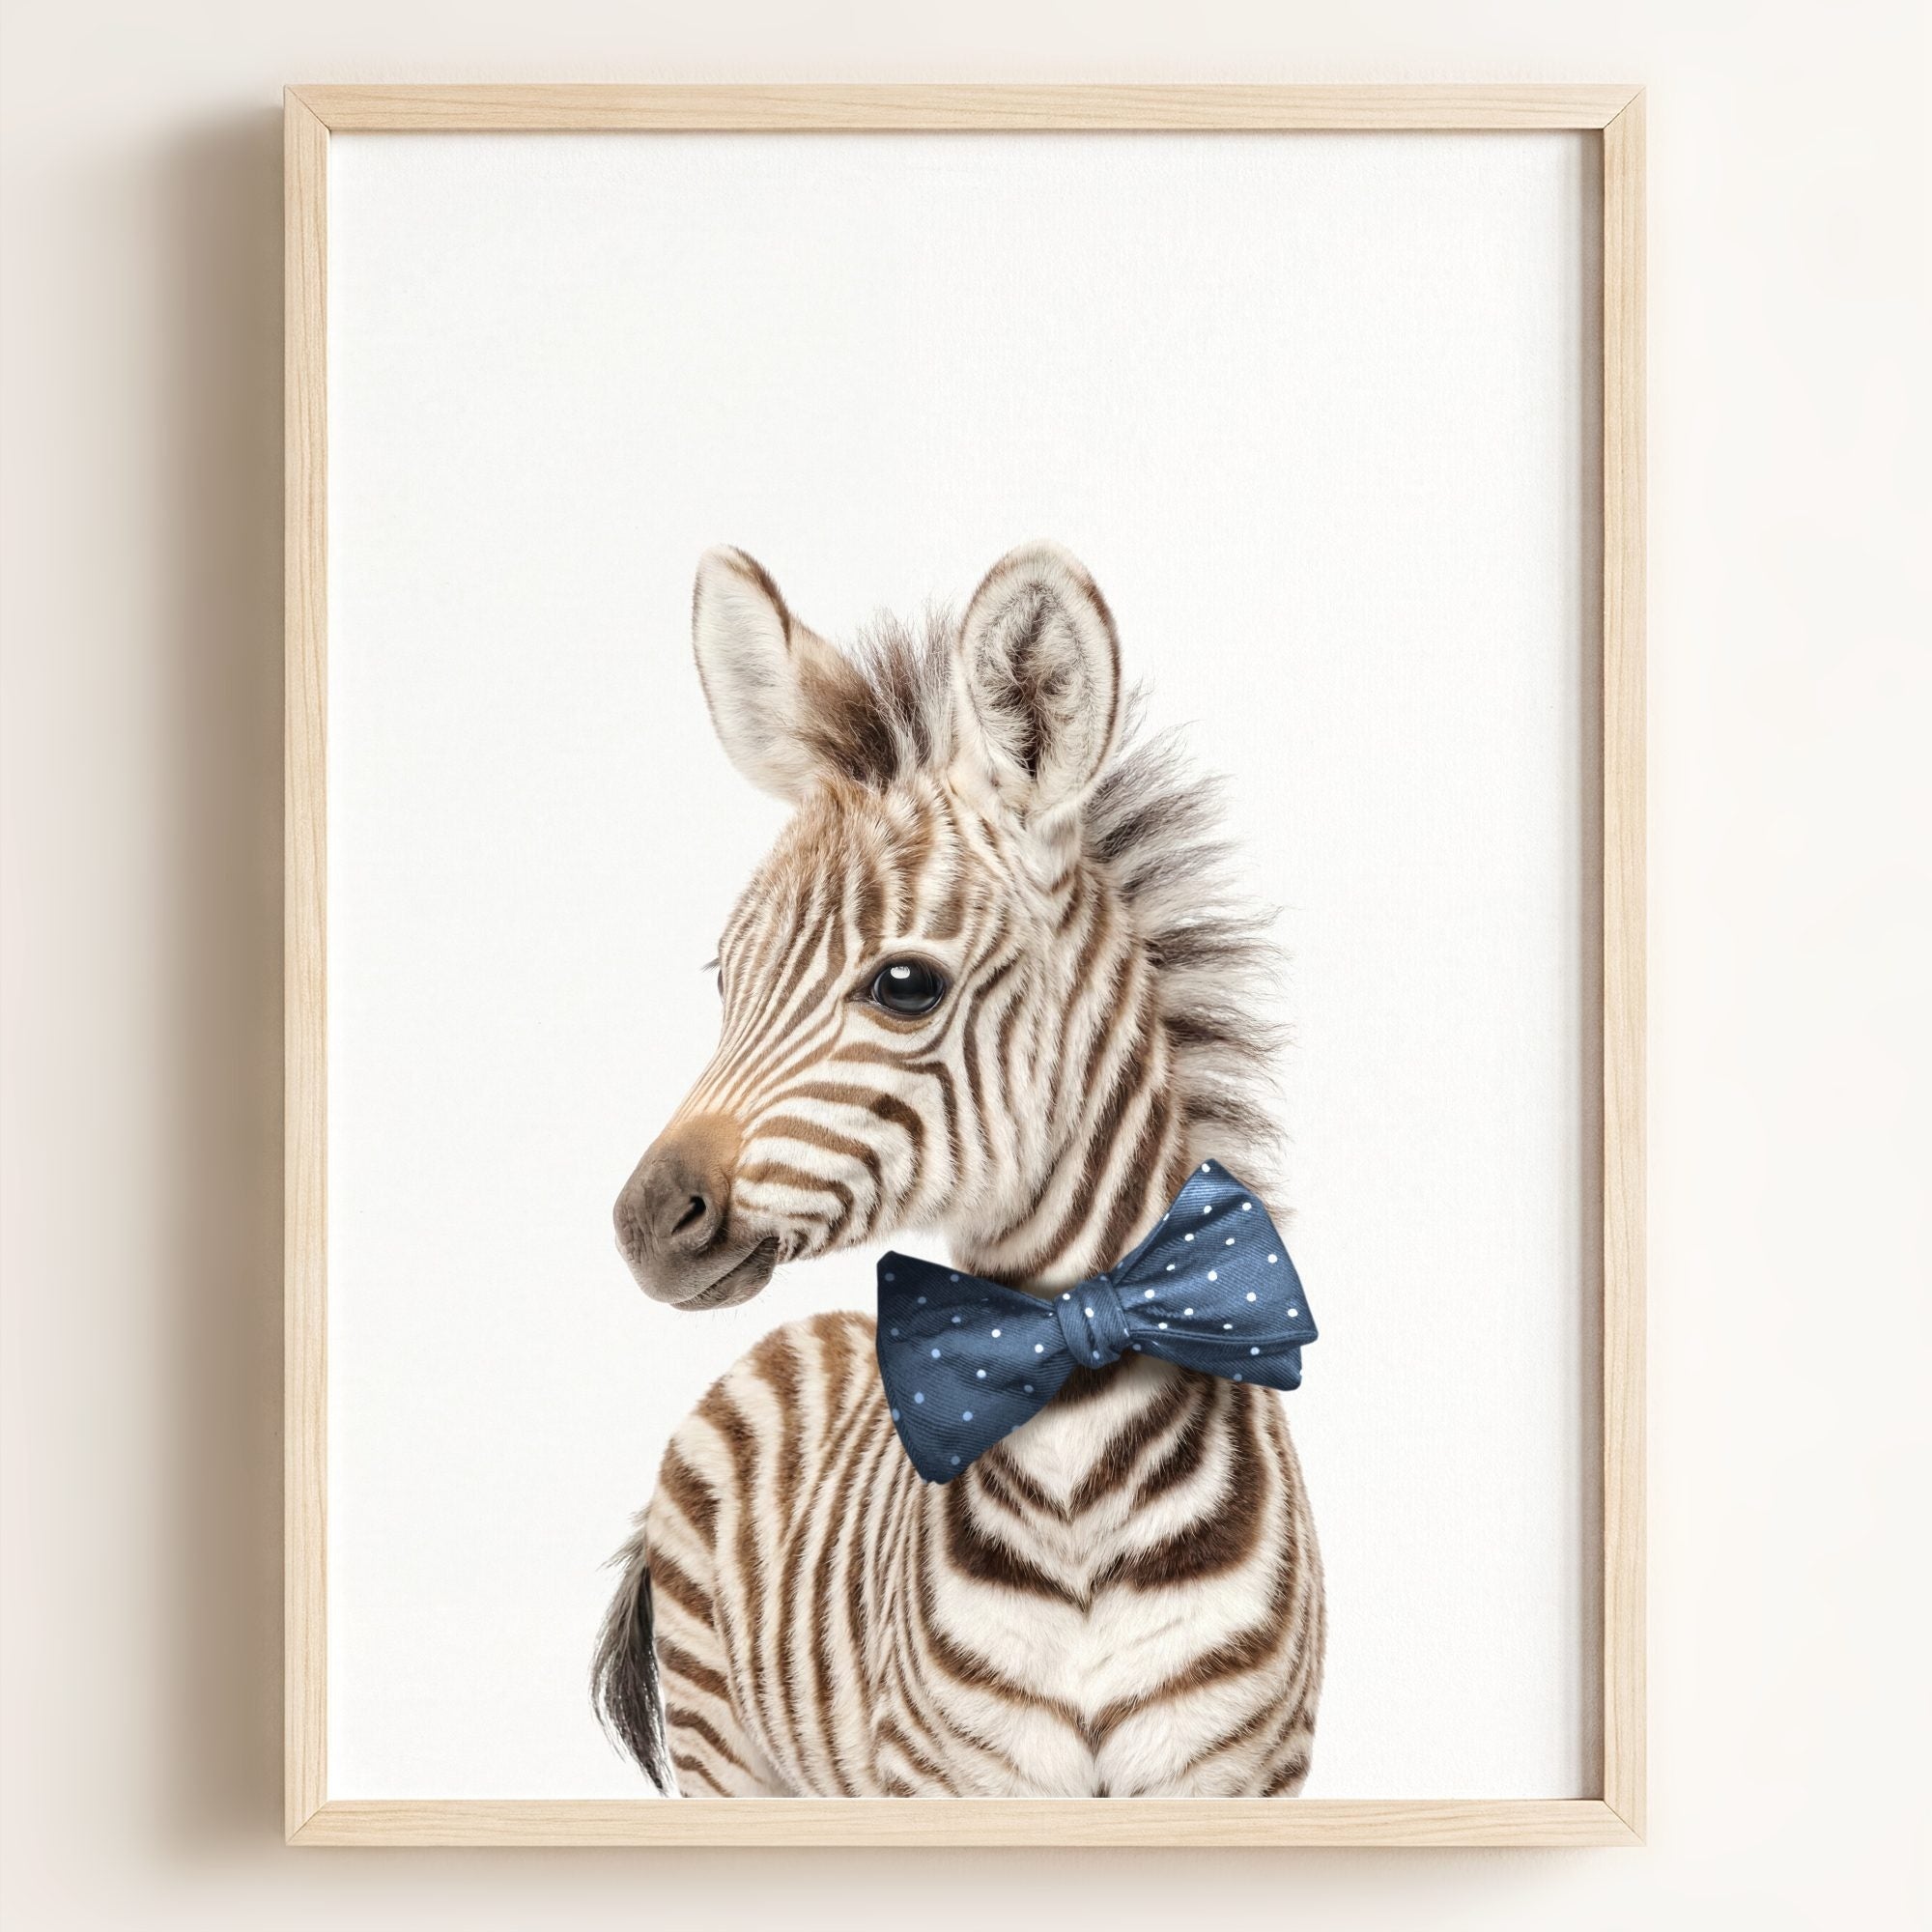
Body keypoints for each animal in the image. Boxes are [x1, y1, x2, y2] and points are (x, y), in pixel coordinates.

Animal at [594, 542, 1323, 1798]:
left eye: (904, 985)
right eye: (724, 975)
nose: (646, 1219)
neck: (1079, 1478)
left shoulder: (1234, 1775)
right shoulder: (951, 1779)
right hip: (725, 1748)